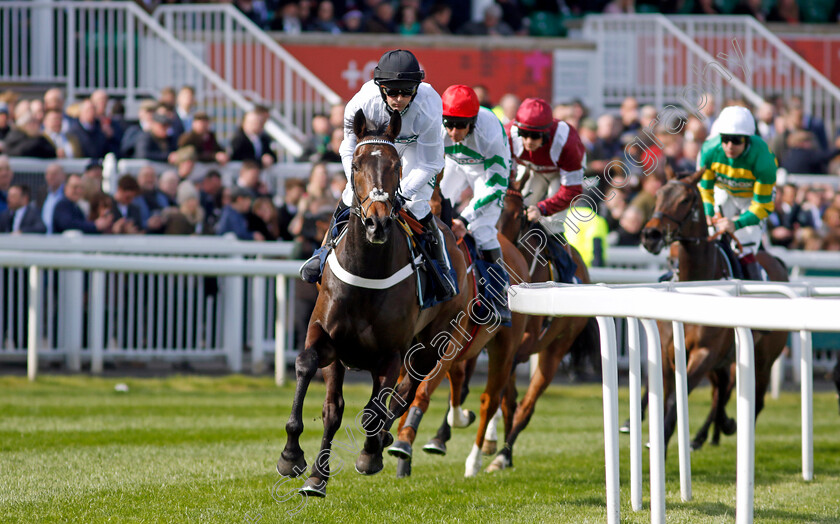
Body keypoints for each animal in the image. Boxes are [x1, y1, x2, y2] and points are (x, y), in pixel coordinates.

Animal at [278, 109, 470, 496]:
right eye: (356, 164)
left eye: (396, 165)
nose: (376, 223)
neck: (366, 274)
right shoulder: (328, 340)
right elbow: (317, 384)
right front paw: (300, 463)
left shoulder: (391, 354)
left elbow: (373, 410)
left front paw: (369, 455)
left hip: (432, 341)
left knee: (405, 393)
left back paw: (385, 442)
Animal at [388, 233, 524, 478]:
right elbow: (407, 391)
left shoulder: (446, 345)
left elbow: (420, 391)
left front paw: (404, 443)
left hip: (505, 349)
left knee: (490, 400)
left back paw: (475, 461)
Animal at [640, 169, 792, 450]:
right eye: (658, 195)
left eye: (685, 200)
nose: (650, 235)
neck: (695, 288)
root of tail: (776, 262)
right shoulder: (669, 353)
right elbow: (667, 395)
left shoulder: (705, 353)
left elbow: (677, 397)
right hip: (726, 359)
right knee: (720, 391)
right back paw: (712, 430)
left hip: (763, 359)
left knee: (754, 400)